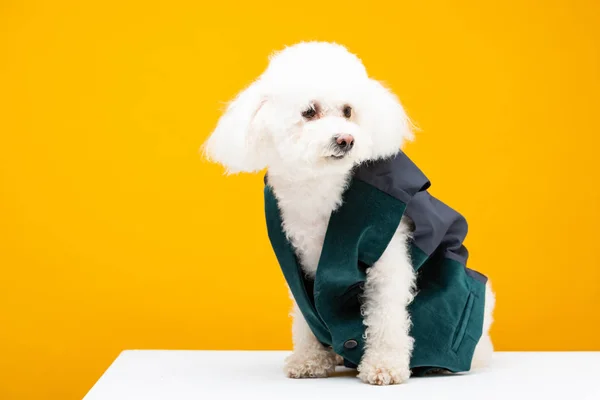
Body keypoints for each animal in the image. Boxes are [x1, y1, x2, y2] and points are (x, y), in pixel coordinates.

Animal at [204, 42, 494, 386]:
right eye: (309, 112)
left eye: (348, 111)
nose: (346, 139)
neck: (319, 185)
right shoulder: (301, 264)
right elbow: (307, 313)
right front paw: (310, 360)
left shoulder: (387, 255)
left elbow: (386, 316)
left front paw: (385, 366)